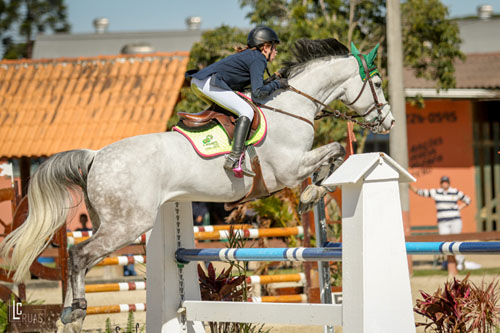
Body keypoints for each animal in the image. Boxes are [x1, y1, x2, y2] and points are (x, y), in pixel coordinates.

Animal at [0, 38, 394, 330]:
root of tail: (96, 155)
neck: (292, 108)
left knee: (76, 258)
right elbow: (336, 148)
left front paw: (316, 190)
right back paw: (78, 309)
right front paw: (314, 191)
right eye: (376, 83)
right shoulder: (288, 169)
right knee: (81, 255)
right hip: (127, 225)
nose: (388, 122)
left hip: (110, 222)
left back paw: (69, 314)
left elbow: (334, 154)